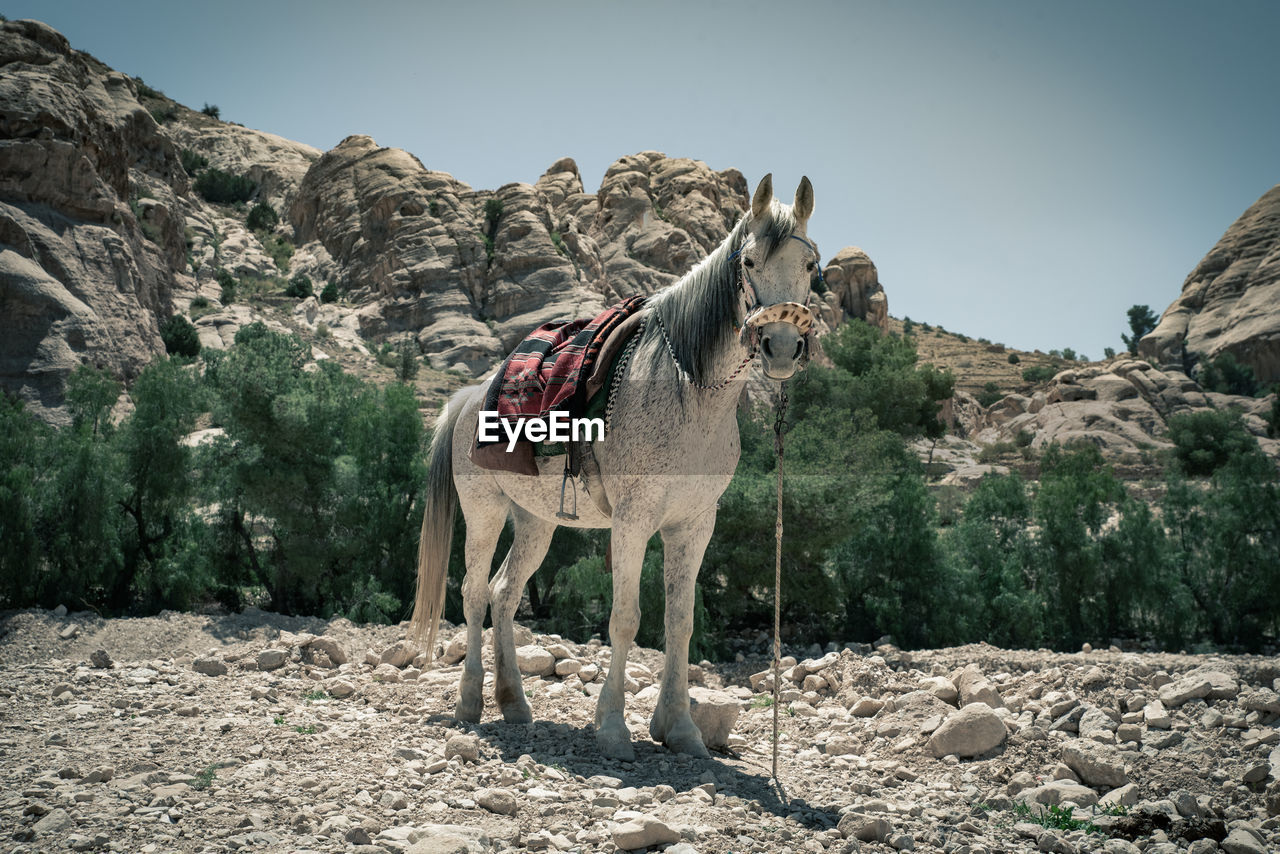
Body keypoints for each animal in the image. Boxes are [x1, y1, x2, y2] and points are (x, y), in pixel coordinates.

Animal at [419, 174, 819, 763]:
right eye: (748, 261)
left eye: (811, 265)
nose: (783, 346)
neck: (691, 392)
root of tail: (471, 396)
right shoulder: (633, 521)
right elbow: (626, 618)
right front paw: (612, 728)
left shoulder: (694, 525)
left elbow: (680, 622)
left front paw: (680, 728)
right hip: (485, 511)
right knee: (472, 594)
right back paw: (469, 703)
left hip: (535, 522)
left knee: (504, 594)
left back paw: (514, 703)